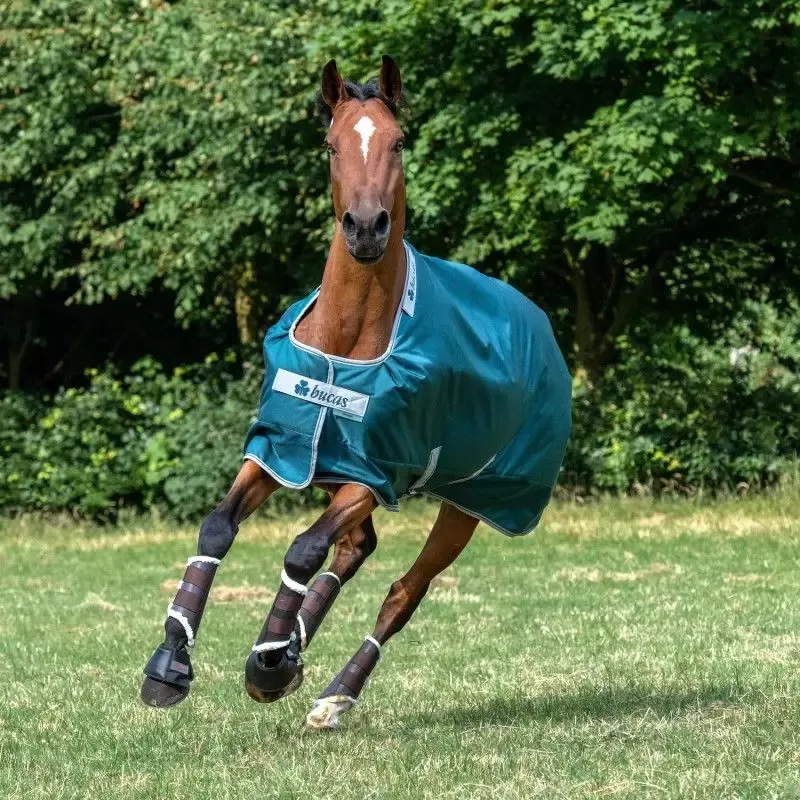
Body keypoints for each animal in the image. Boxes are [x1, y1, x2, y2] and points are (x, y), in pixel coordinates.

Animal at [141, 56, 572, 730]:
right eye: (331, 144)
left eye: (398, 141)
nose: (366, 228)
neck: (346, 342)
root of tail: (541, 324)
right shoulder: (281, 448)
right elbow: (217, 528)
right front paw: (170, 664)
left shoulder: (377, 474)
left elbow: (303, 548)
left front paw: (268, 662)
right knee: (357, 547)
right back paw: (295, 650)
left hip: (471, 500)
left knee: (402, 592)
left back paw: (330, 693)